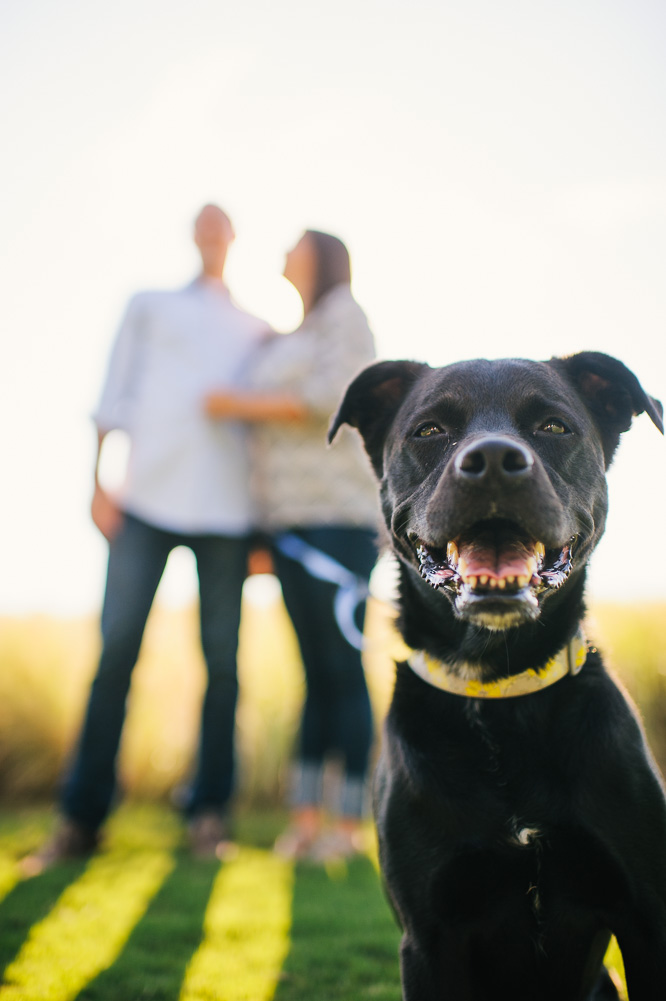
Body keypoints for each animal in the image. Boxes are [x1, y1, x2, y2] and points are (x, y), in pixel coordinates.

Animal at [330, 352, 664, 1001]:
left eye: (554, 427)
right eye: (429, 431)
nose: (490, 461)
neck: (498, 692)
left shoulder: (645, 917)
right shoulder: (429, 939)